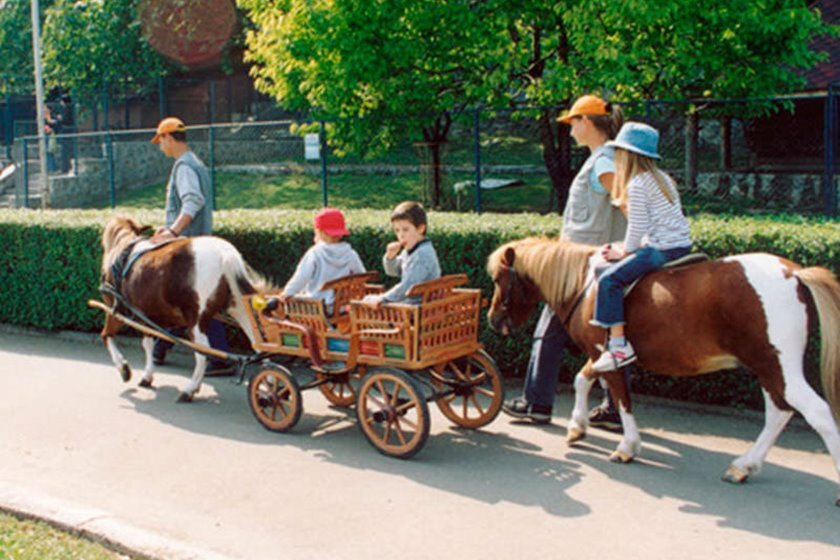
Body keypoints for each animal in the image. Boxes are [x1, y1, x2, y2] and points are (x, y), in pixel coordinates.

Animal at [99, 215, 268, 402]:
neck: (124, 249)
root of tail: (225, 254)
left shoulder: (116, 311)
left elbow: (107, 336)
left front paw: (124, 369)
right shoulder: (146, 316)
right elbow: (148, 344)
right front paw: (147, 376)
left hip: (196, 322)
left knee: (202, 354)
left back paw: (190, 389)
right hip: (239, 308)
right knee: (258, 343)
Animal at [486, 234, 840, 506]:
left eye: (499, 279)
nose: (493, 320)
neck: (585, 285)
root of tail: (794, 274)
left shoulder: (608, 357)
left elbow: (622, 399)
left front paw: (627, 447)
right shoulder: (599, 354)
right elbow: (581, 379)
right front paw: (577, 426)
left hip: (777, 364)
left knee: (817, 413)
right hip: (768, 367)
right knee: (779, 412)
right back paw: (744, 466)